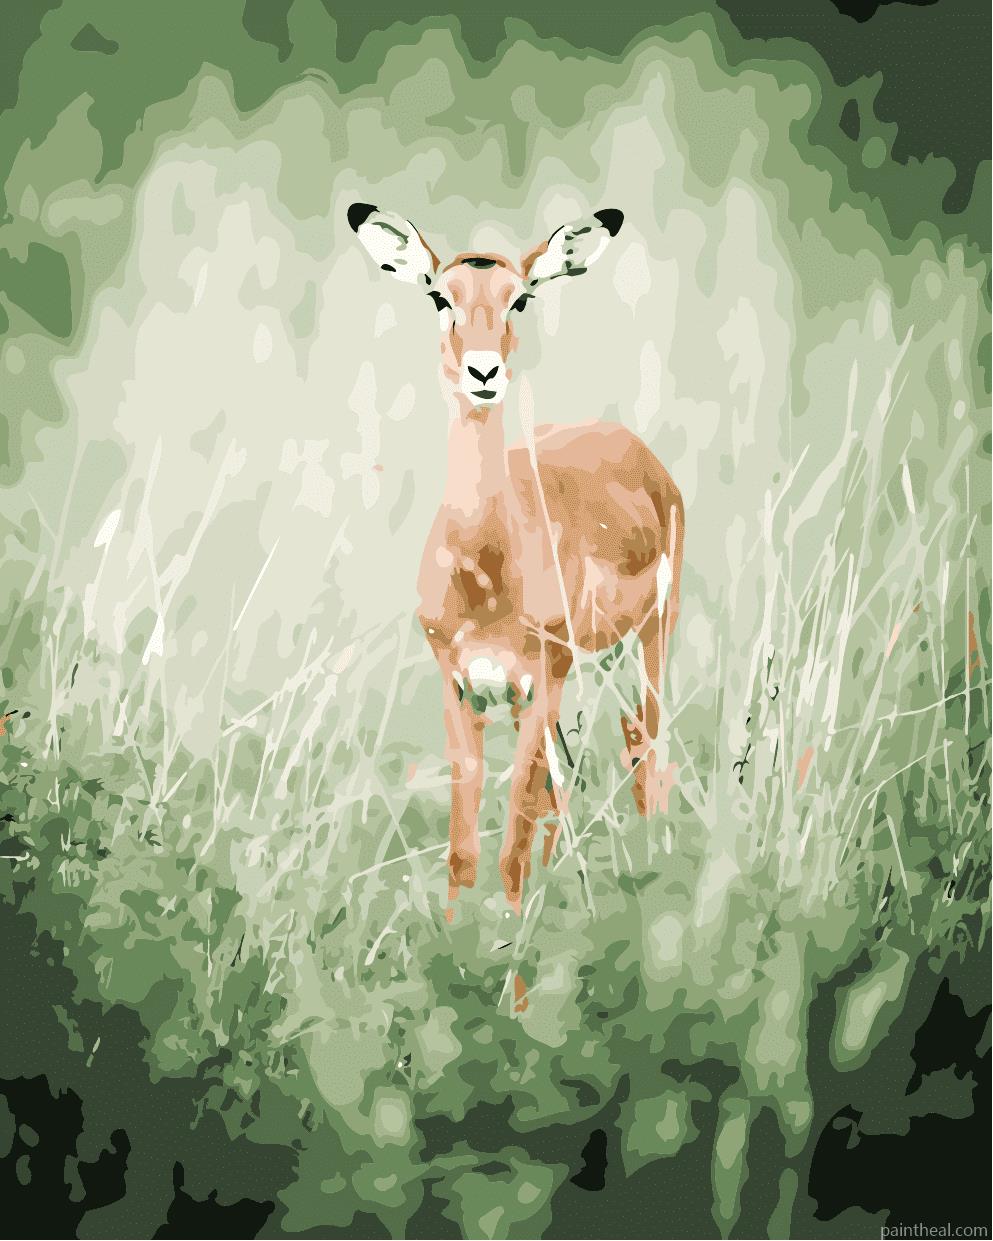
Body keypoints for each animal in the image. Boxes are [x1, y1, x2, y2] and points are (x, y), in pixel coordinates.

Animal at [348, 202, 684, 918]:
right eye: (440, 295)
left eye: (521, 298)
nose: (483, 373)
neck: (485, 574)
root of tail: (639, 453)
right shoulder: (459, 687)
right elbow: (464, 846)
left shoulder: (538, 685)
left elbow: (512, 843)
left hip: (646, 645)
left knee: (642, 752)